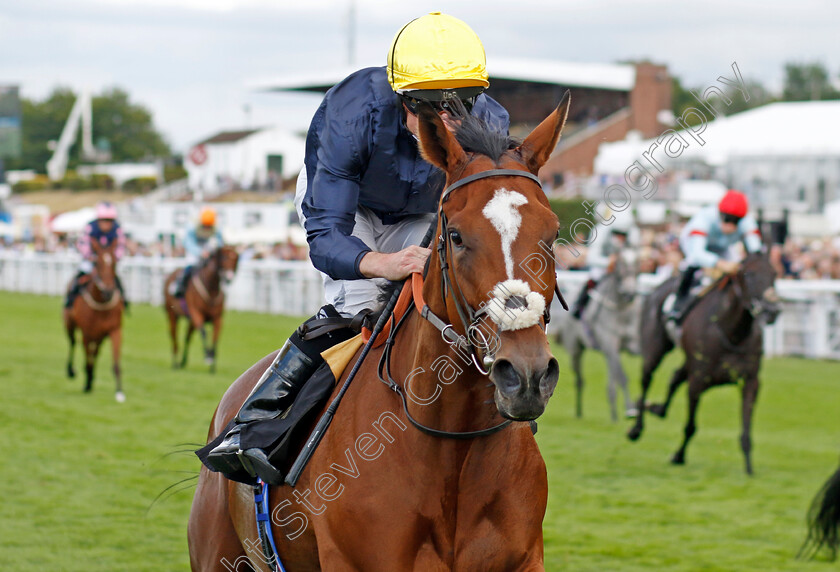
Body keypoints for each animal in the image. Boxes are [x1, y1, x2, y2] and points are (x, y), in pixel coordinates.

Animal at [64, 237, 125, 402]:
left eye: (114, 262)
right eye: (97, 262)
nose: (108, 291)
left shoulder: (115, 330)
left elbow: (116, 362)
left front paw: (119, 392)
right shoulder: (87, 333)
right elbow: (87, 360)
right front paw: (87, 383)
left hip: (100, 337)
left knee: (95, 352)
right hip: (69, 324)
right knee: (72, 342)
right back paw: (72, 371)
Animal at [628, 254, 776, 474]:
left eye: (775, 274)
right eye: (749, 274)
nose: (773, 310)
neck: (733, 333)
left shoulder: (750, 381)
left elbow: (746, 430)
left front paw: (749, 468)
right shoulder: (698, 381)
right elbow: (690, 426)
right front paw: (678, 456)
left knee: (674, 377)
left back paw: (654, 408)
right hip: (655, 348)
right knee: (647, 379)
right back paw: (637, 427)